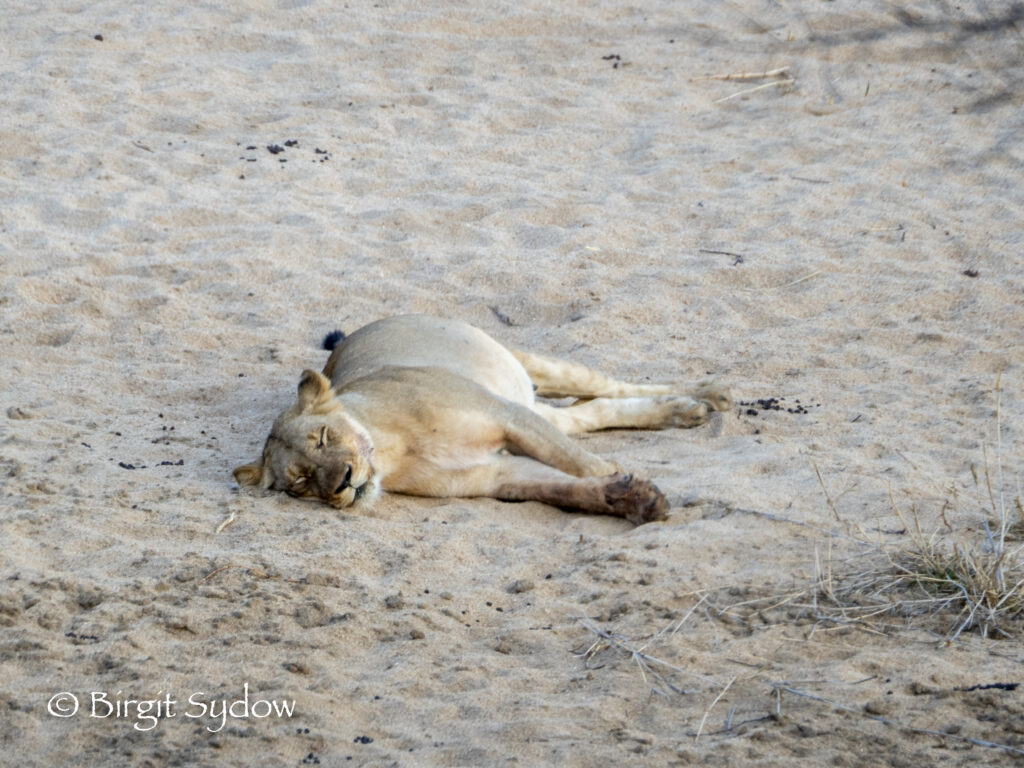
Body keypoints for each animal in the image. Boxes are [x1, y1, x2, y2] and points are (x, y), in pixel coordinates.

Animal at [233, 315, 731, 524]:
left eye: (322, 437)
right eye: (300, 484)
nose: (342, 484)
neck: (395, 450)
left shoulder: (506, 415)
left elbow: (586, 465)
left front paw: (623, 479)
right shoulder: (497, 472)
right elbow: (568, 488)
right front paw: (634, 499)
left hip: (522, 368)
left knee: (610, 386)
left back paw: (708, 394)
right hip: (533, 404)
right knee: (592, 412)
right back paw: (684, 411)